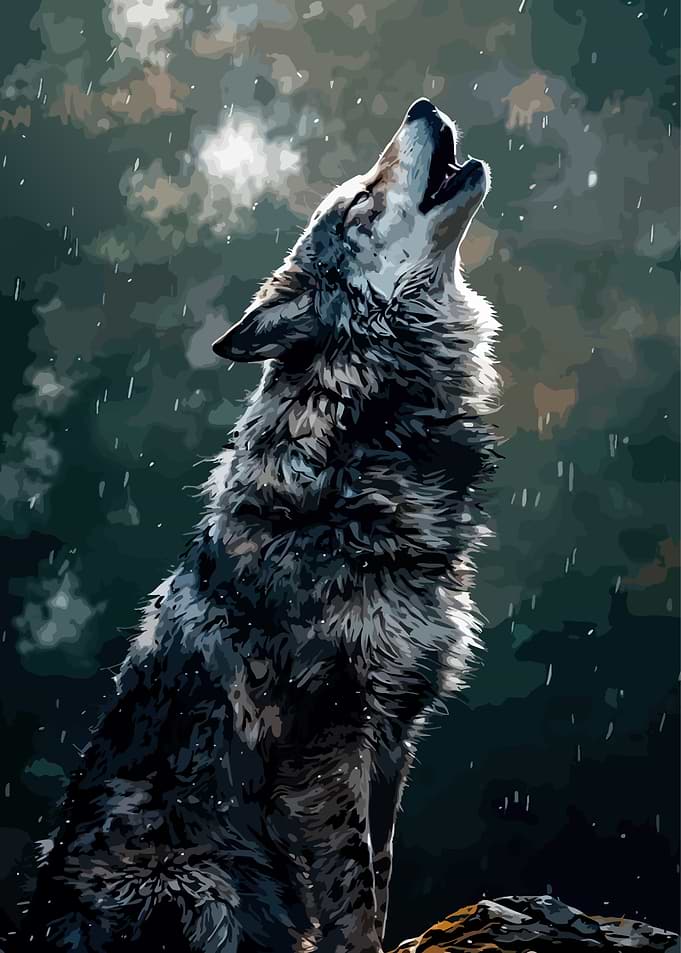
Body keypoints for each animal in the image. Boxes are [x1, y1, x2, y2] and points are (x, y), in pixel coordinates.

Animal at [26, 98, 499, 953]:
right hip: (207, 879)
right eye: (359, 201)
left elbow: (380, 872)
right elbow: (351, 892)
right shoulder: (332, 736)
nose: (420, 106)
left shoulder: (393, 733)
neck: (360, 441)